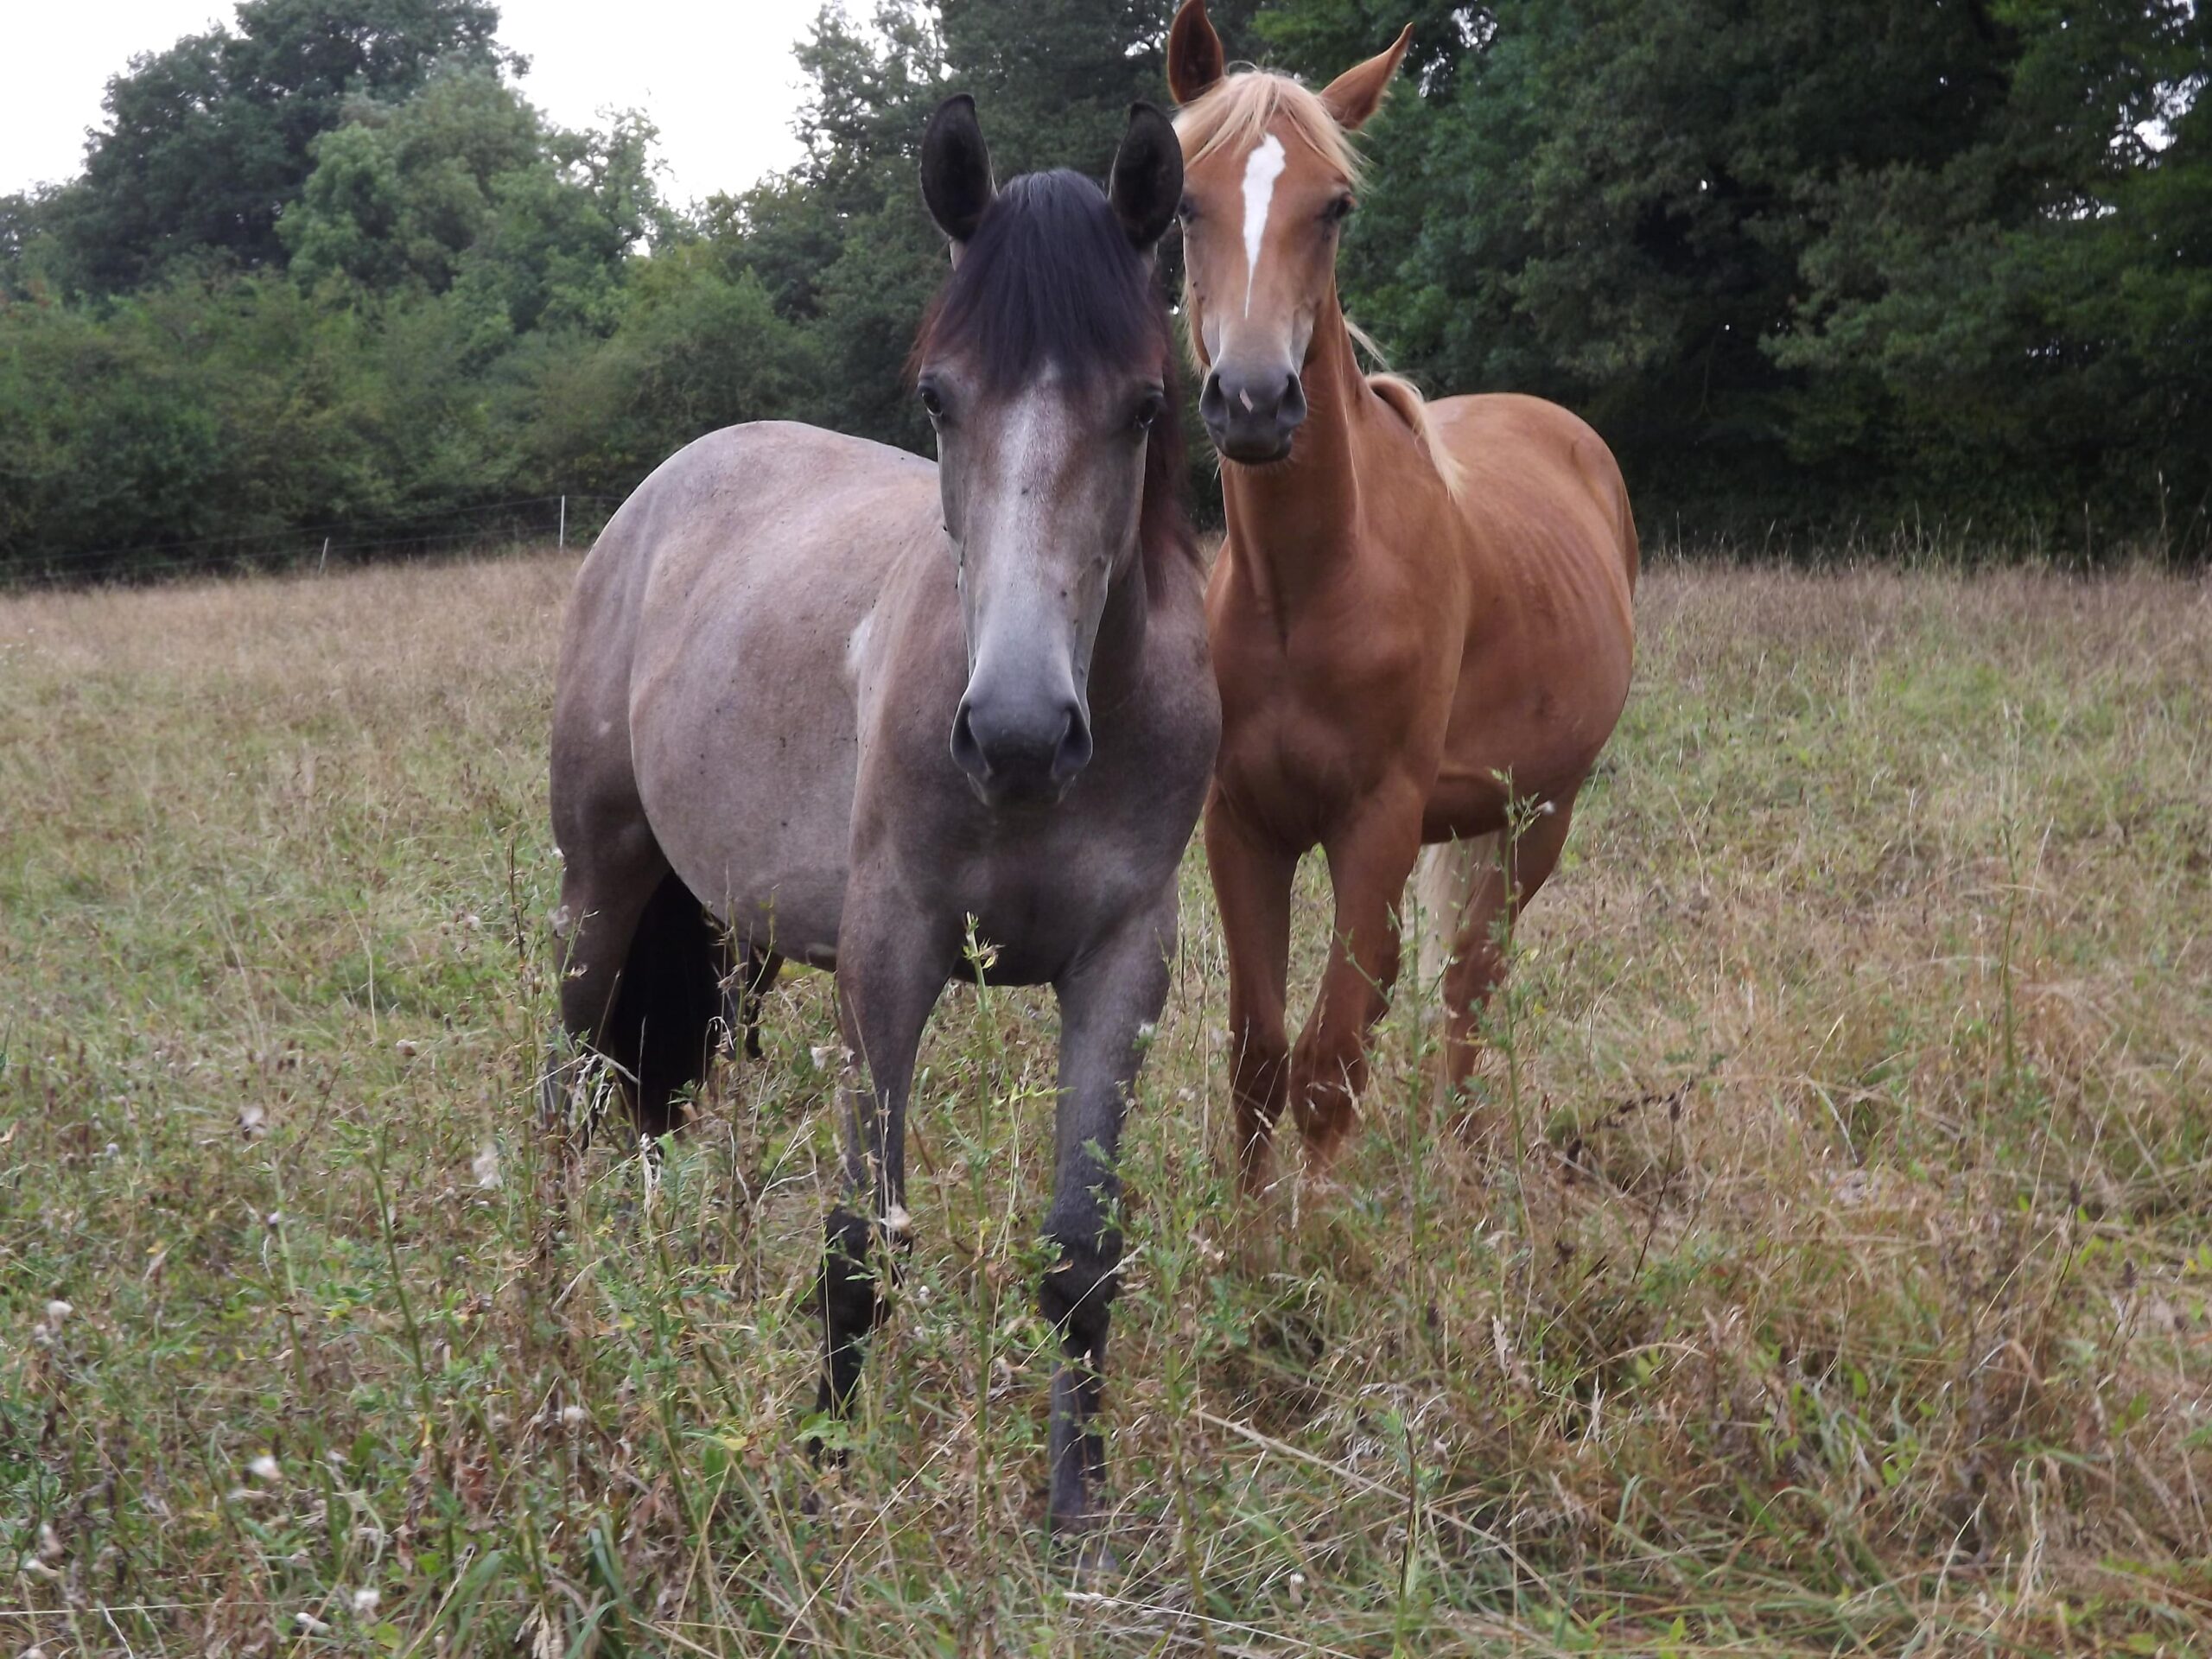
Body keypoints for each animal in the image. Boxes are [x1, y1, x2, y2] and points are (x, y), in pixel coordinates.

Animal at [543, 104, 1221, 1557]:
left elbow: (1082, 1252)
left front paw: (1075, 1514)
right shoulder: (892, 953)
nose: (1017, 733)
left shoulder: (1125, 966)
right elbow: (860, 1241)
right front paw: (825, 1474)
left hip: (732, 929)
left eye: (1145, 404)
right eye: (937, 398)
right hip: (600, 882)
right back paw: (551, 1299)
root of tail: (666, 485)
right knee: (564, 1100)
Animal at [1167, 3, 1637, 1194]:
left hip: (1539, 813)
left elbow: (1329, 1065)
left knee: (1469, 983)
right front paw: (1251, 1233)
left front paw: (1316, 1235)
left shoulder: (1373, 821)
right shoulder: (1241, 821)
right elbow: (1257, 1057)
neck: (1312, 584)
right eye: (1183, 200)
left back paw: (1458, 1154)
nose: (1253, 402)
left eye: (1334, 206)